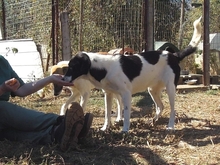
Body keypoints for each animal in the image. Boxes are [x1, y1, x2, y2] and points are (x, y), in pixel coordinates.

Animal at [60, 17, 201, 133]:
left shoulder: (126, 94)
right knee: (160, 106)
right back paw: (154, 120)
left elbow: (127, 113)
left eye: (72, 67)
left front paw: (125, 130)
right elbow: (107, 114)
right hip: (152, 90)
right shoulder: (108, 94)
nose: (63, 79)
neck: (103, 67)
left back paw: (170, 126)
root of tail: (174, 55)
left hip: (170, 88)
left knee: (172, 109)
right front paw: (105, 128)